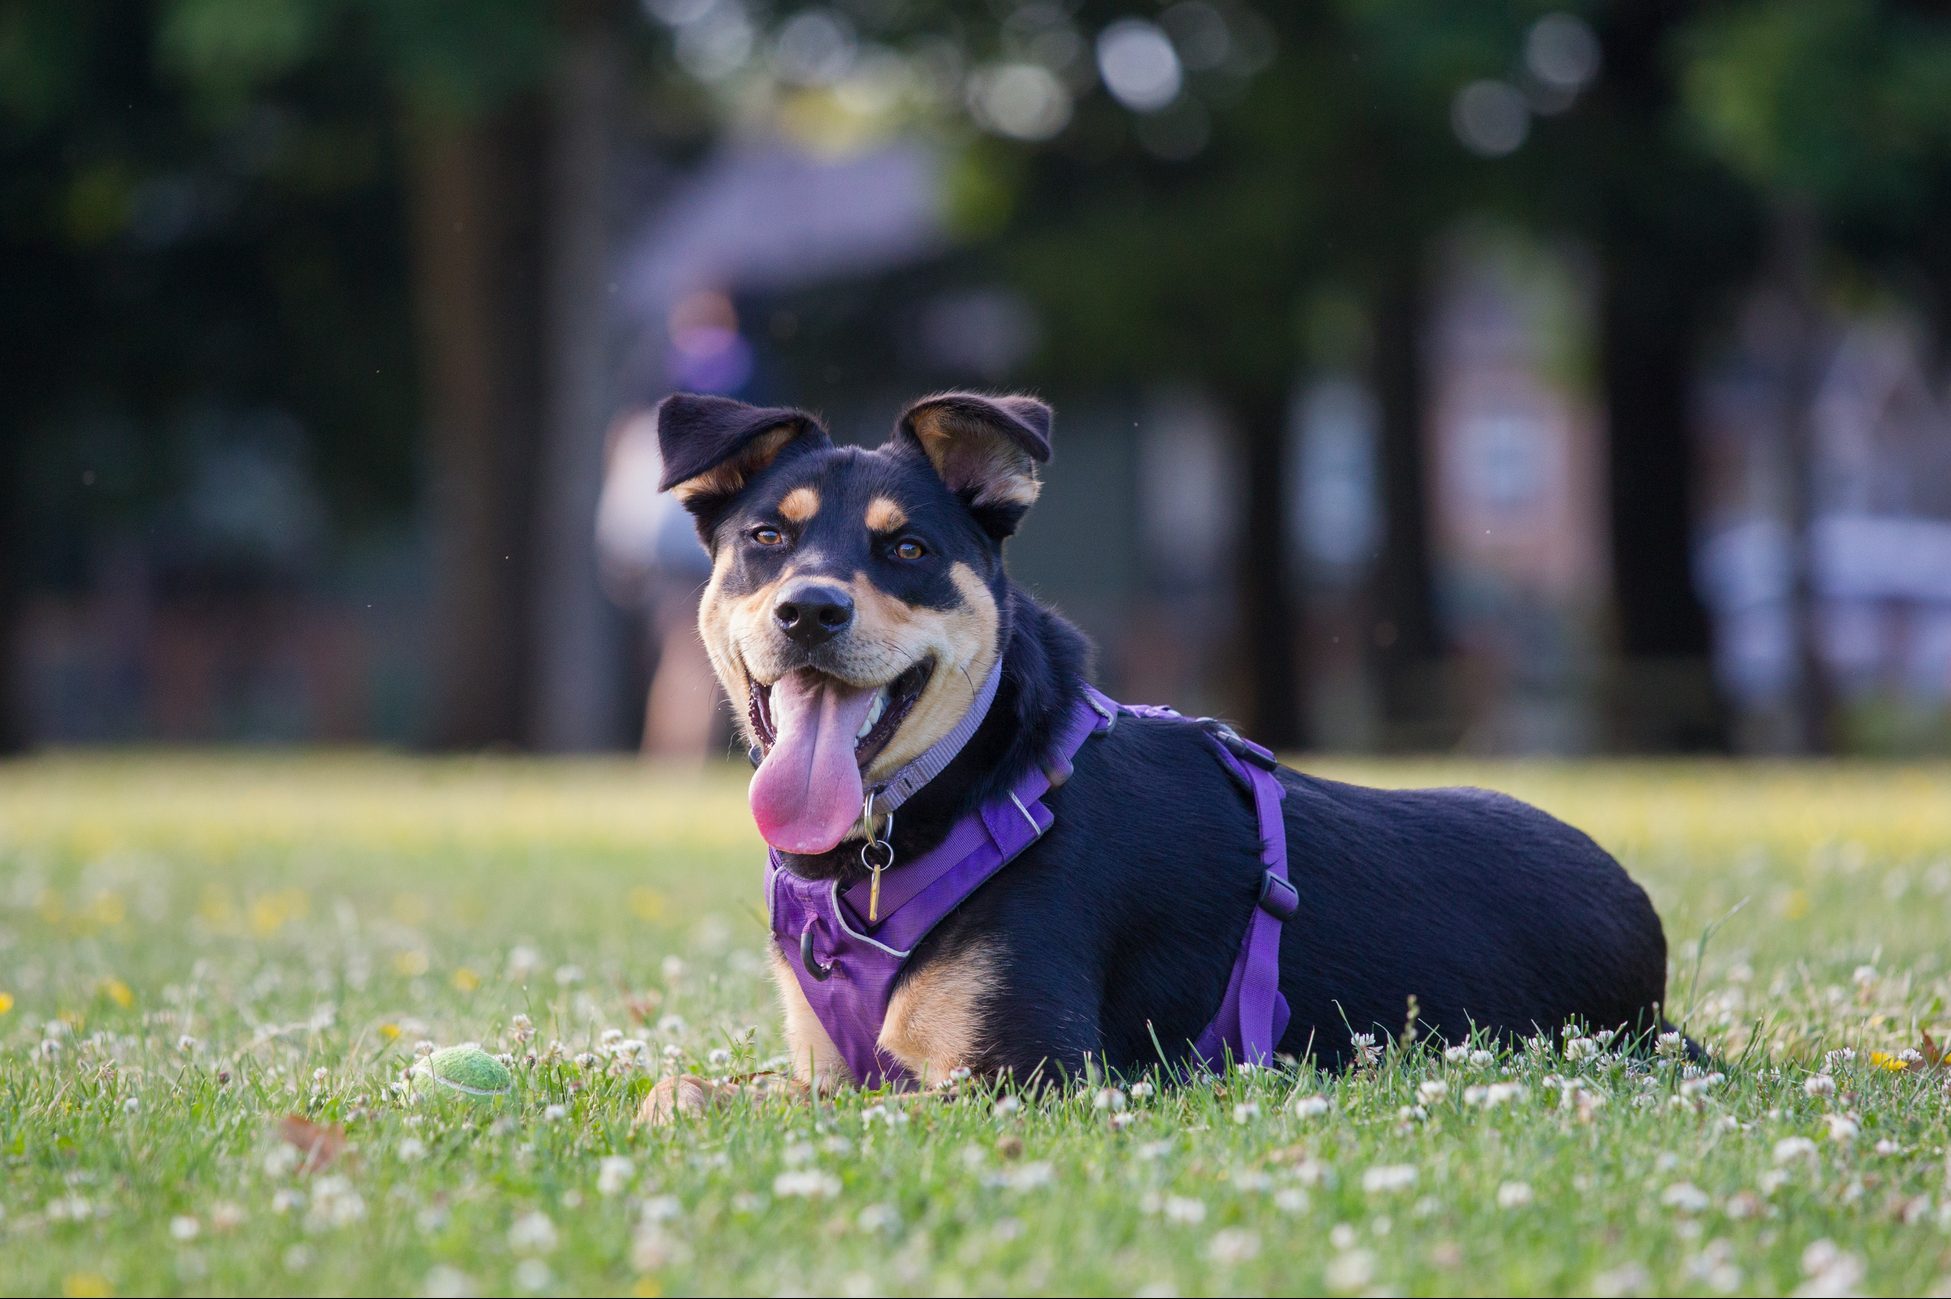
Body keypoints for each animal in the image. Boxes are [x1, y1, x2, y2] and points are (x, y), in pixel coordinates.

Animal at [639, 386, 1677, 1115]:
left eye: (907, 551)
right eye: (767, 536)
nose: (809, 609)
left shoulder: (1022, 1073)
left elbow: (827, 1112)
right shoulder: (827, 1064)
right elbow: (683, 1089)